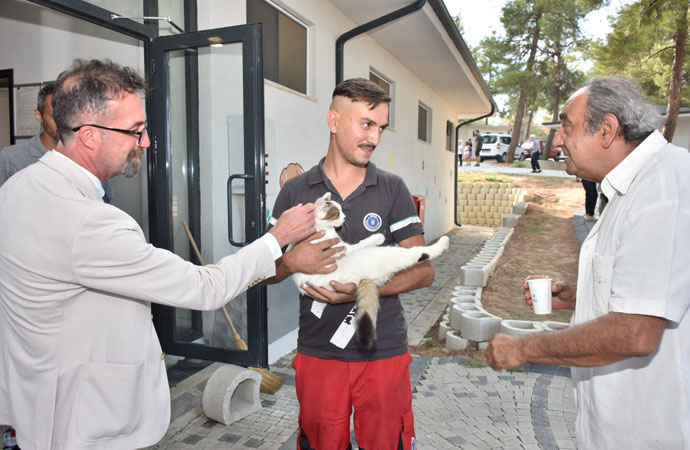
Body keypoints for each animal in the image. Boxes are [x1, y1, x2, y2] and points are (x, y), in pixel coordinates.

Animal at [292, 192, 448, 350]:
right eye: (337, 213)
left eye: (341, 211)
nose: (344, 217)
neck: (318, 228)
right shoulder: (345, 249)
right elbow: (363, 242)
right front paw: (378, 237)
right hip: (385, 255)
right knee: (417, 254)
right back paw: (442, 243)